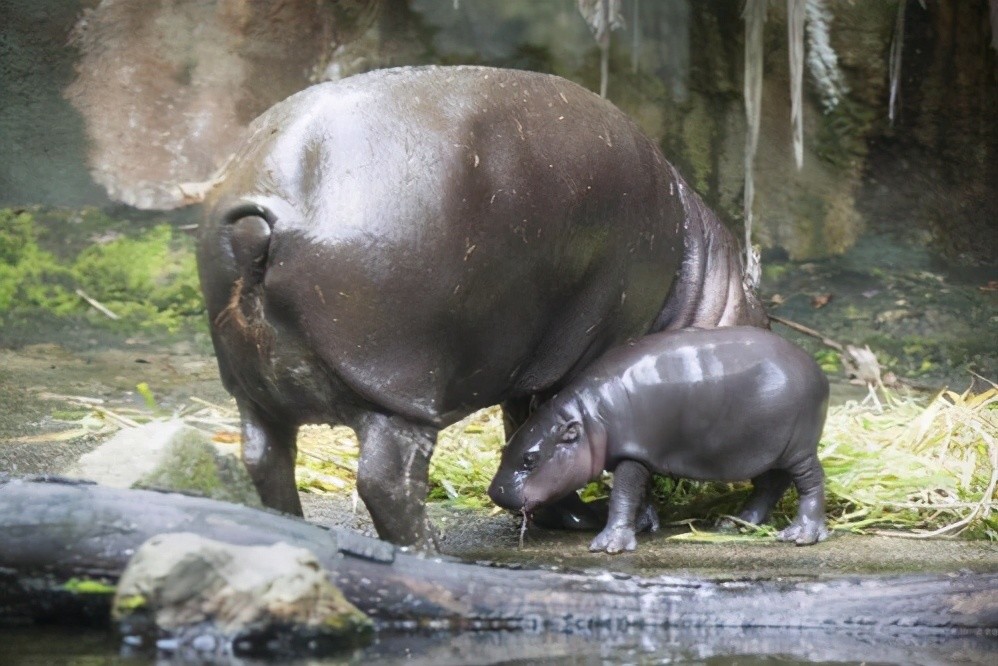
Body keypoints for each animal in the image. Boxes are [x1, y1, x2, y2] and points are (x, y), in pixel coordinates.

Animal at [201, 65, 764, 548]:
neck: (702, 281)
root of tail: (264, 217)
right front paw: (623, 518)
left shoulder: (531, 365)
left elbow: (524, 431)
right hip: (398, 392)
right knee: (386, 481)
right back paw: (429, 551)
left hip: (255, 388)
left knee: (265, 458)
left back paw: (291, 532)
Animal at [488, 326, 832, 548]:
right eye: (504, 448)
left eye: (530, 459)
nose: (495, 492)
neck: (588, 418)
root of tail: (815, 367)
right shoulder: (641, 454)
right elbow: (639, 494)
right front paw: (643, 526)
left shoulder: (632, 453)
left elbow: (623, 494)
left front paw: (609, 543)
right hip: (765, 449)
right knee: (771, 485)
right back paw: (734, 523)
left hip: (798, 448)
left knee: (812, 481)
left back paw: (801, 535)